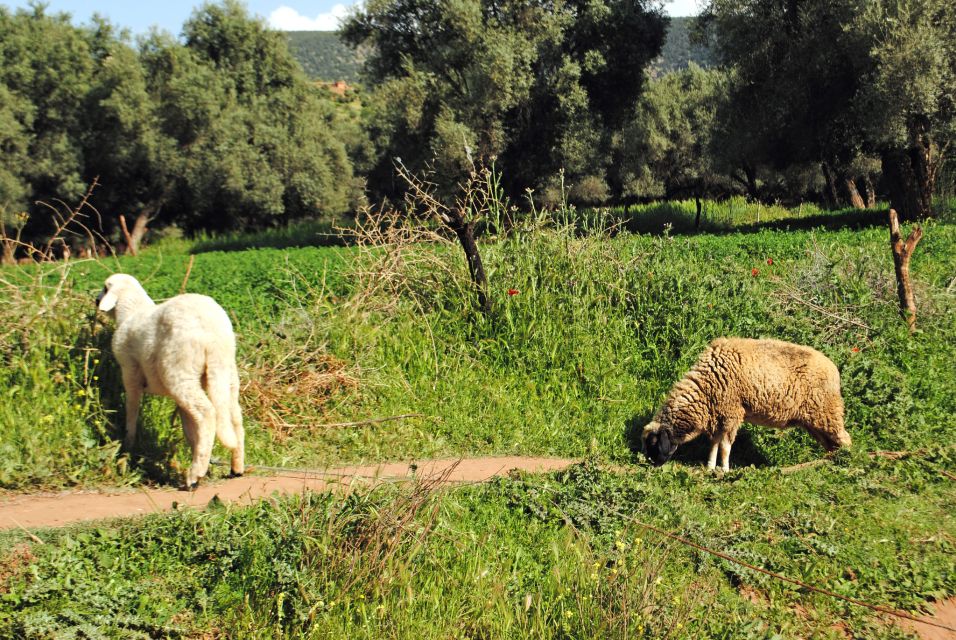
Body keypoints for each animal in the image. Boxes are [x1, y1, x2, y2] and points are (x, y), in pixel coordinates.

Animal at [95, 272, 245, 488]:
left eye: (105, 288)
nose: (96, 300)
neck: (131, 311)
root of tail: (213, 334)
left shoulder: (130, 372)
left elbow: (132, 410)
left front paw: (128, 444)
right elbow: (189, 429)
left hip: (179, 371)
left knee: (206, 413)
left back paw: (194, 476)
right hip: (225, 375)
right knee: (234, 418)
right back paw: (235, 467)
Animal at [644, 338, 852, 472]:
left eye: (654, 442)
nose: (651, 464)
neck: (706, 386)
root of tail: (834, 369)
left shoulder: (732, 413)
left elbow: (725, 446)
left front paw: (724, 470)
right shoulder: (719, 415)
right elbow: (715, 443)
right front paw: (710, 467)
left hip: (826, 412)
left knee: (845, 440)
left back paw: (846, 466)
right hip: (814, 421)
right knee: (832, 445)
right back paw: (823, 464)